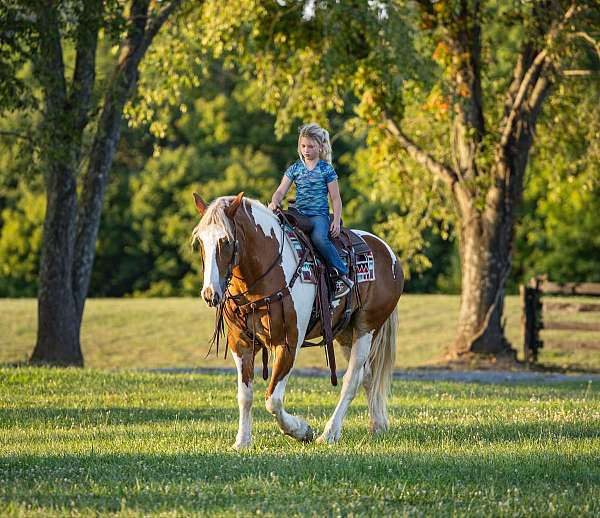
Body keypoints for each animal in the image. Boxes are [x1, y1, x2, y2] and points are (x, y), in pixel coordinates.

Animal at [191, 193, 404, 448]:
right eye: (200, 241)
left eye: (225, 241)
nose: (209, 293)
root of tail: (388, 252)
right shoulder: (240, 344)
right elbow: (245, 395)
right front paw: (242, 441)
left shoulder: (287, 343)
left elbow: (273, 399)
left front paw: (301, 430)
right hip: (346, 333)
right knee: (368, 376)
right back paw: (378, 425)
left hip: (366, 328)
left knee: (352, 380)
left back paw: (329, 433)